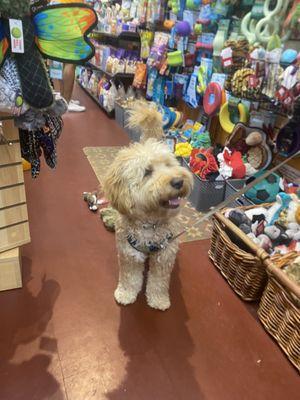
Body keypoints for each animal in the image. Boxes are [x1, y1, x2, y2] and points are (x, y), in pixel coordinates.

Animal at [103, 101, 192, 310]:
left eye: (169, 165)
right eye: (147, 172)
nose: (178, 181)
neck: (149, 223)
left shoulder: (164, 256)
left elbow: (158, 282)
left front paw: (159, 300)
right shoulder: (129, 255)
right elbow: (130, 279)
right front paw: (126, 294)